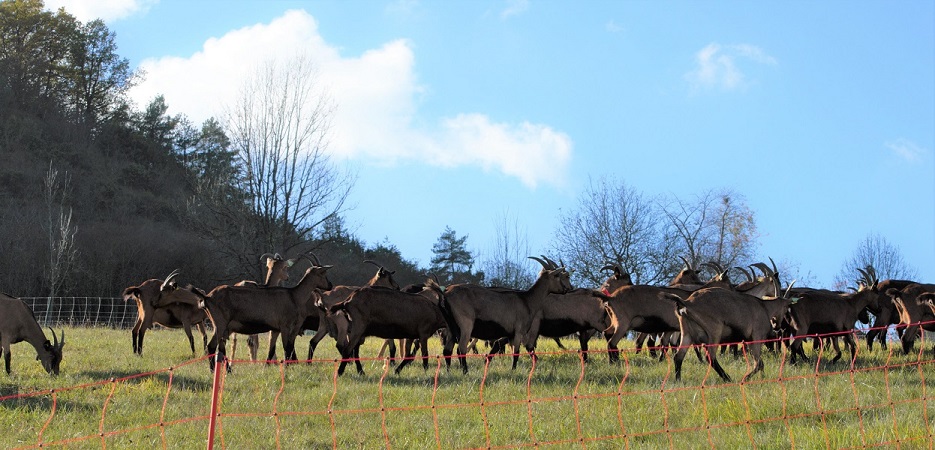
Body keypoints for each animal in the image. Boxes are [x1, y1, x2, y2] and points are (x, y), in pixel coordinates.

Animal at [441, 256, 573, 374]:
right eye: (558, 275)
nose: (569, 288)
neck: (527, 300)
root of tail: (446, 292)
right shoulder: (519, 332)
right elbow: (516, 353)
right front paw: (513, 371)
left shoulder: (510, 335)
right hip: (465, 325)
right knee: (461, 349)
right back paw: (465, 372)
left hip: (451, 328)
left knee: (447, 350)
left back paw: (449, 372)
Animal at [661, 286, 794, 382]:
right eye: (786, 307)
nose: (777, 327)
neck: (764, 307)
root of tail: (687, 303)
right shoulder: (756, 338)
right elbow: (759, 363)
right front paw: (745, 378)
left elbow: (760, 364)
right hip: (715, 332)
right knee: (710, 357)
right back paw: (727, 378)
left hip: (687, 334)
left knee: (678, 356)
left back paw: (678, 380)